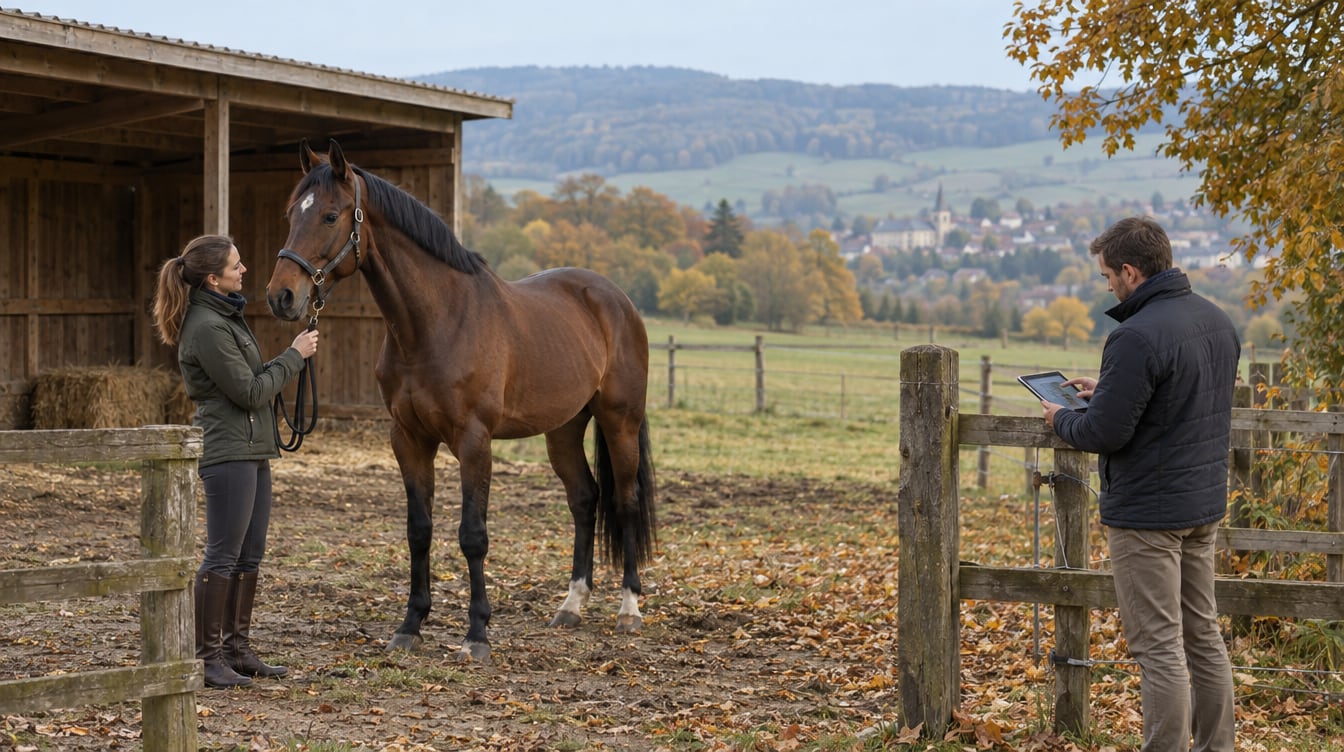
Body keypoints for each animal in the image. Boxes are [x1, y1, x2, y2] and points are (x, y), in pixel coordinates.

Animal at [265, 139, 657, 662]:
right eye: (293, 213)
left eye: (330, 215)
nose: (282, 296)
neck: (436, 322)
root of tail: (617, 300)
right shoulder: (408, 439)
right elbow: (419, 529)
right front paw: (410, 625)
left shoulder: (474, 441)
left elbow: (473, 535)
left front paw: (477, 634)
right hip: (564, 429)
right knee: (584, 499)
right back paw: (571, 606)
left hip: (619, 421)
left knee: (626, 501)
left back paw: (629, 609)